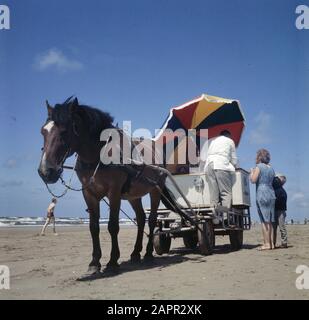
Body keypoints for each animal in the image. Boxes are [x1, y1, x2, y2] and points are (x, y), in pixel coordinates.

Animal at [38, 97, 171, 278]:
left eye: (64, 131)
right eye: (42, 132)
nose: (45, 171)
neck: (98, 155)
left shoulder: (114, 192)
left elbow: (112, 226)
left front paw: (113, 262)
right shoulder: (88, 193)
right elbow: (93, 227)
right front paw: (94, 263)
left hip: (155, 190)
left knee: (151, 220)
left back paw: (149, 253)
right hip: (133, 195)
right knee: (141, 218)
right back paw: (136, 253)